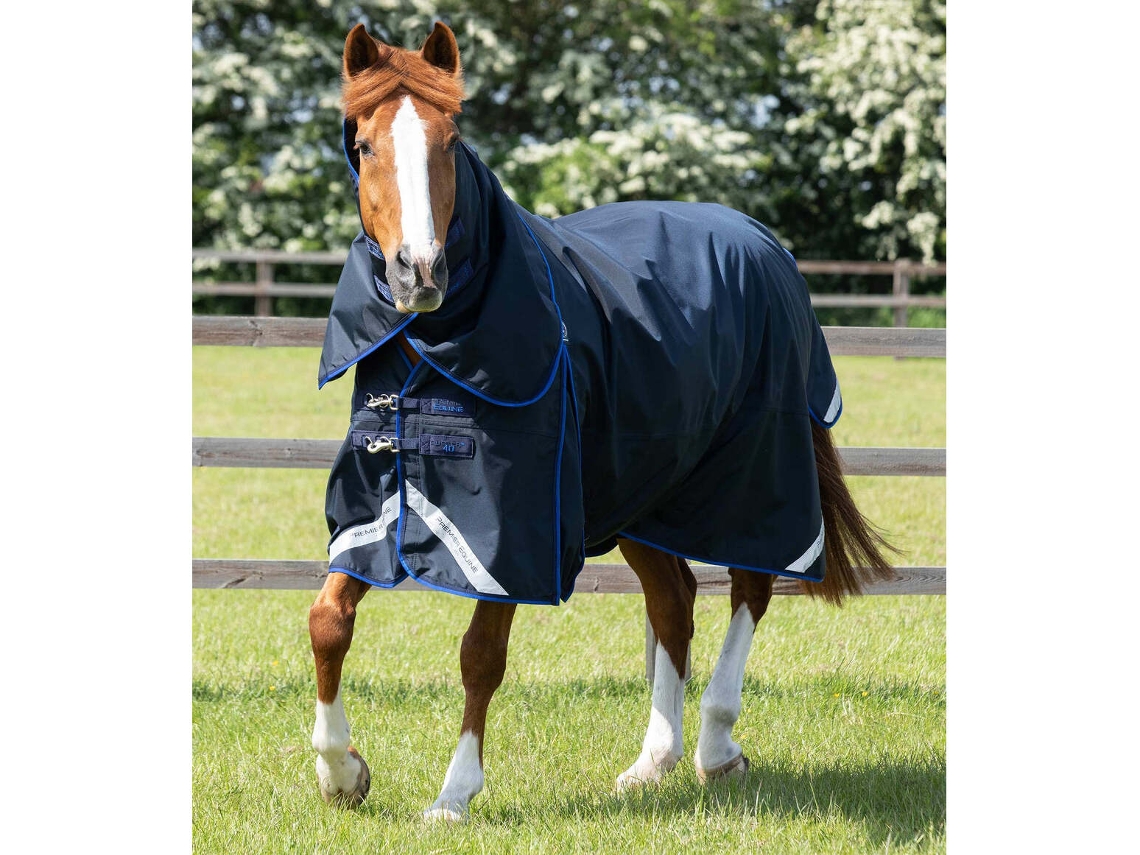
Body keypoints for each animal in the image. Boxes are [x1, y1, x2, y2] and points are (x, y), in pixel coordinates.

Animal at [308, 21, 896, 822]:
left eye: (449, 140)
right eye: (366, 145)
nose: (417, 272)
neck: (434, 347)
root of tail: (763, 241)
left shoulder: (513, 533)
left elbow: (480, 656)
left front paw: (454, 795)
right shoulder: (375, 507)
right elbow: (328, 621)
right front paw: (343, 775)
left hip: (755, 475)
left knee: (752, 587)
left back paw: (716, 747)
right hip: (645, 496)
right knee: (676, 604)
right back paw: (652, 763)